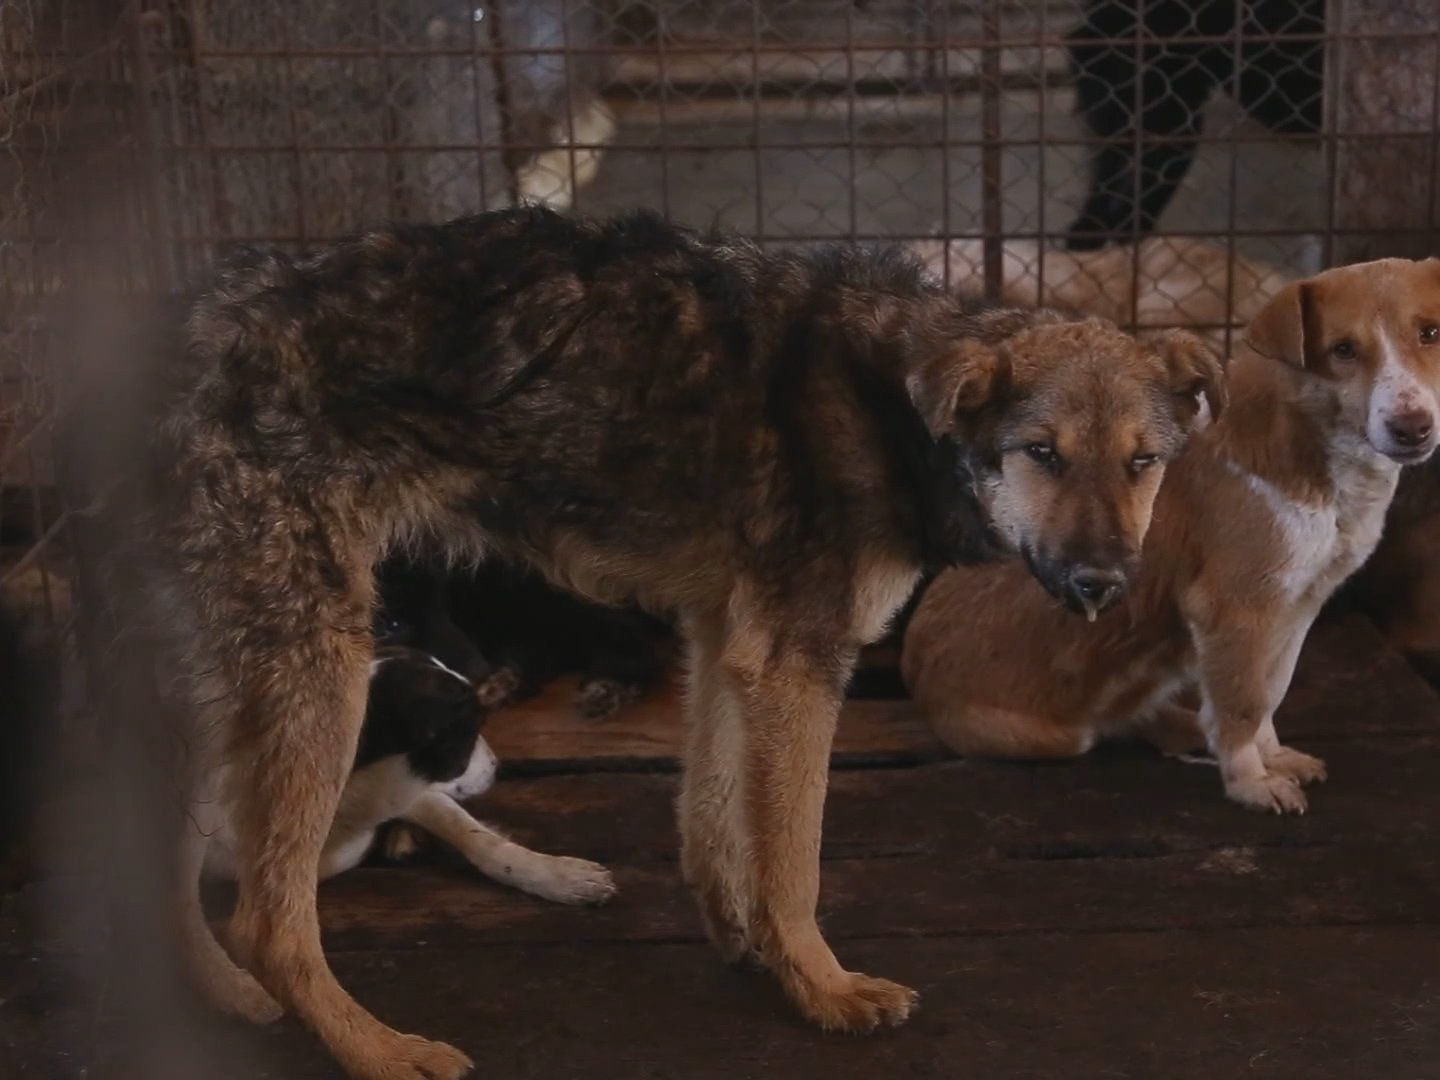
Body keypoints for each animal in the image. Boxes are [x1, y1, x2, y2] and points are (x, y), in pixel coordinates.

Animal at [904, 260, 1440, 812]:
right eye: (1343, 349)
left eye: (1430, 334)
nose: (1412, 427)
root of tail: (911, 670)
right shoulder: (1233, 607)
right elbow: (1243, 704)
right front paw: (1249, 781)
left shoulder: (1297, 606)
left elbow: (1269, 693)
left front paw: (1269, 757)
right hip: (1062, 737)